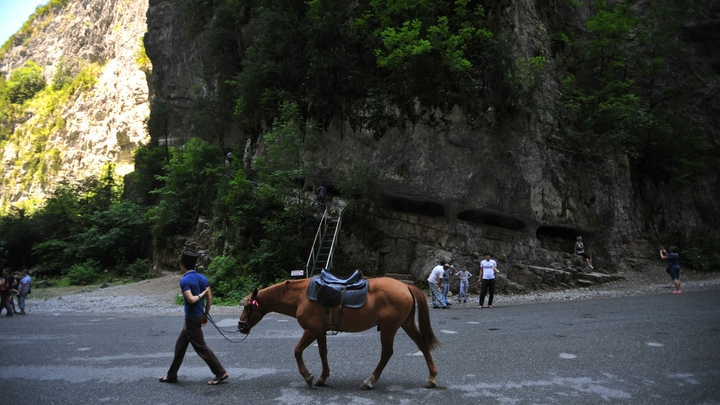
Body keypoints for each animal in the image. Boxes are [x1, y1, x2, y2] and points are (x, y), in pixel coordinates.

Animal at [238, 278, 438, 388]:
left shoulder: (311, 330)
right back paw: (432, 377)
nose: (241, 326)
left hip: (389, 328)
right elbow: (323, 352)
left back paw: (370, 380)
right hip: (406, 324)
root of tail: (406, 286)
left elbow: (297, 351)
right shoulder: (319, 331)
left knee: (387, 352)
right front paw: (322, 377)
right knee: (422, 345)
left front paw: (308, 376)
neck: (301, 296)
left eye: (247, 307)